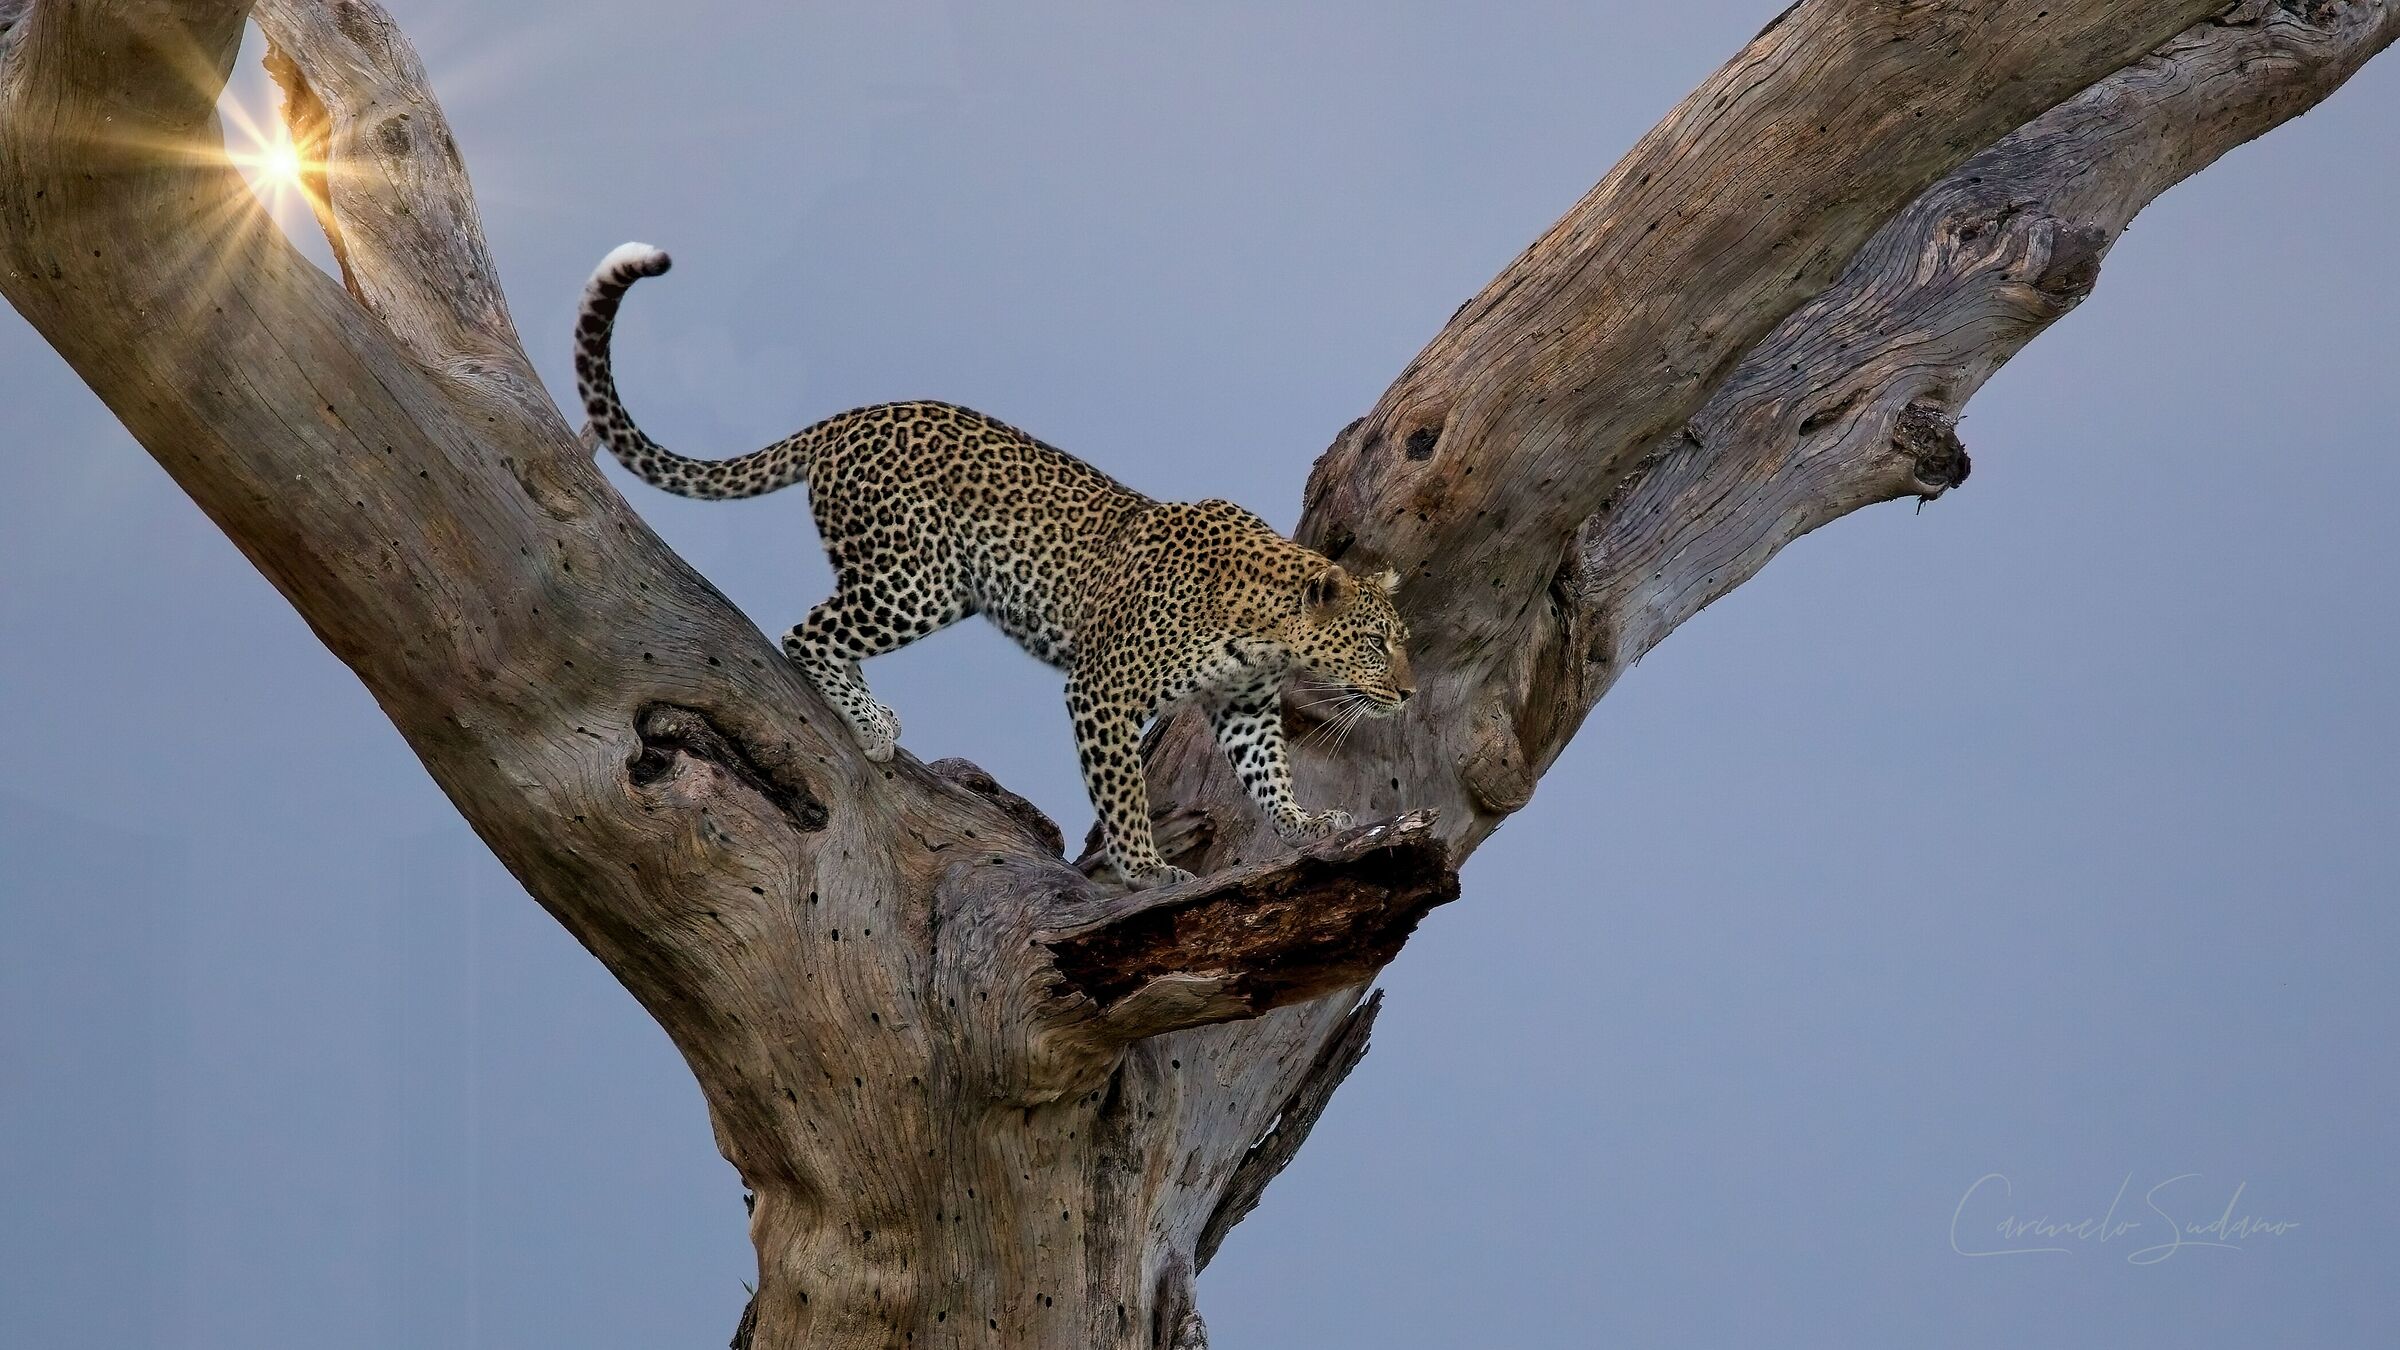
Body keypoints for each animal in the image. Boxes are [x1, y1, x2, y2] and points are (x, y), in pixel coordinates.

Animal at [573, 243, 1415, 887]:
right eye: (1376, 644)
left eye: (1400, 642)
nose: (1408, 692)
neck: (1268, 628)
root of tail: (844, 421)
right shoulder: (1102, 690)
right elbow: (1124, 795)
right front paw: (1146, 869)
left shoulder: (1245, 707)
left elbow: (1270, 774)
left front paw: (1305, 824)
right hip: (918, 580)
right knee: (808, 630)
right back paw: (870, 725)